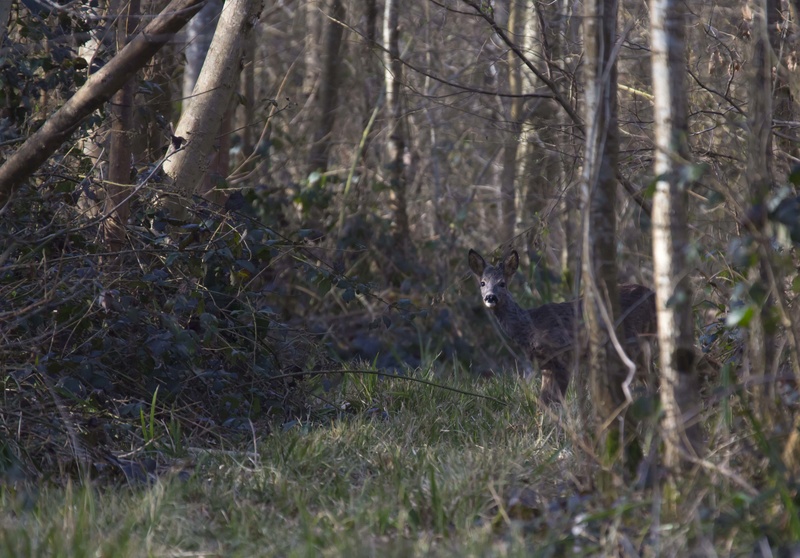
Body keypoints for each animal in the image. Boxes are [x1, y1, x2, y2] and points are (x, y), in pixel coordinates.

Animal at [468, 250, 656, 406]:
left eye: (502, 283)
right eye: (482, 283)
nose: (490, 297)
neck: (530, 327)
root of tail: (652, 295)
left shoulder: (563, 353)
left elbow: (556, 401)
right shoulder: (545, 364)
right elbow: (544, 401)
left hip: (635, 341)